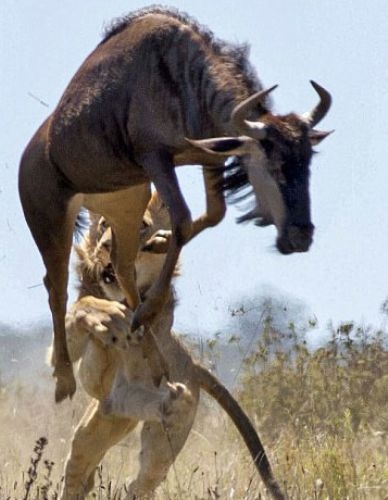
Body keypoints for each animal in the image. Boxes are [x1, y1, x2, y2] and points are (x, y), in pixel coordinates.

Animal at [56, 192, 282, 500]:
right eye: (103, 224)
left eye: (141, 225)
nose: (106, 247)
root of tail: (193, 365)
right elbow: (81, 312)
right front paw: (104, 317)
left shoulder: (123, 386)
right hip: (94, 428)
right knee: (78, 470)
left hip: (152, 443)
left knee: (141, 483)